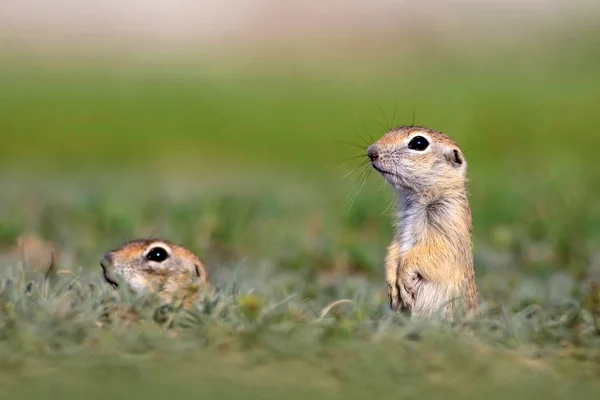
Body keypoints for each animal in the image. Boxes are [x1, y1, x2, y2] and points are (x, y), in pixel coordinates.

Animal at [366, 125, 478, 318]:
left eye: (419, 143)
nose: (371, 152)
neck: (418, 199)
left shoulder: (449, 221)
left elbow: (436, 252)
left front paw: (404, 277)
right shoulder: (402, 228)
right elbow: (393, 249)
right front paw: (392, 283)